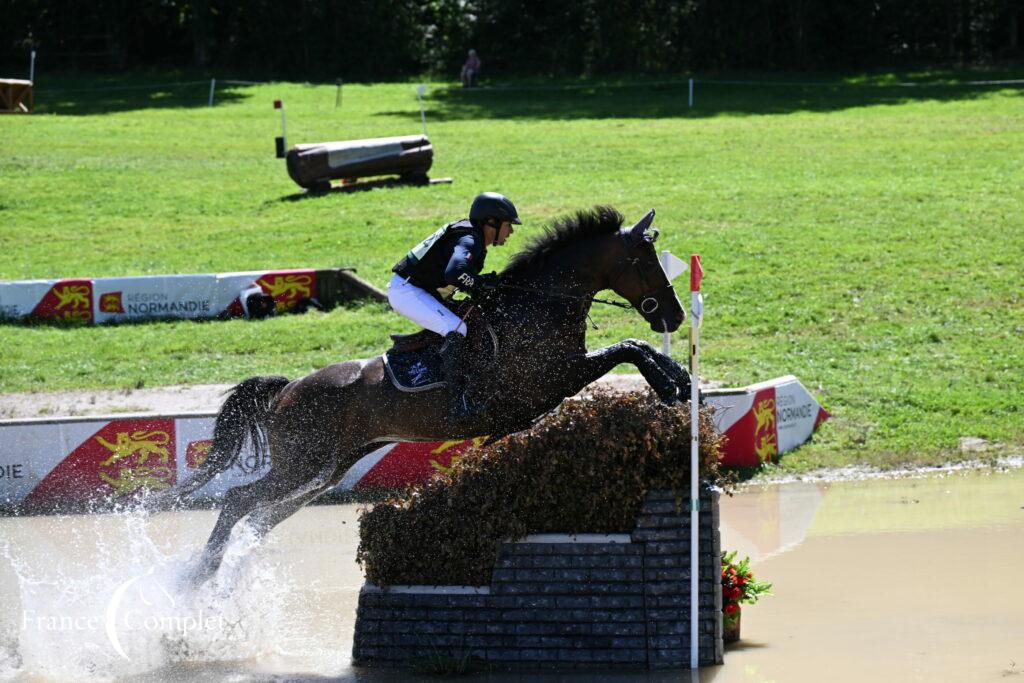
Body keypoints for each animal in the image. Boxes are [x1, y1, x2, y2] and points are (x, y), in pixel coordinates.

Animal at [149, 204, 696, 581]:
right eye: (646, 261)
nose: (674, 316)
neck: (537, 305)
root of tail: (287, 391)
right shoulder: (553, 378)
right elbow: (627, 348)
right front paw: (673, 382)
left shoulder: (552, 386)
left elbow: (631, 346)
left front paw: (679, 381)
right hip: (302, 462)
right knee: (239, 500)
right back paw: (200, 574)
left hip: (329, 467)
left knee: (264, 515)